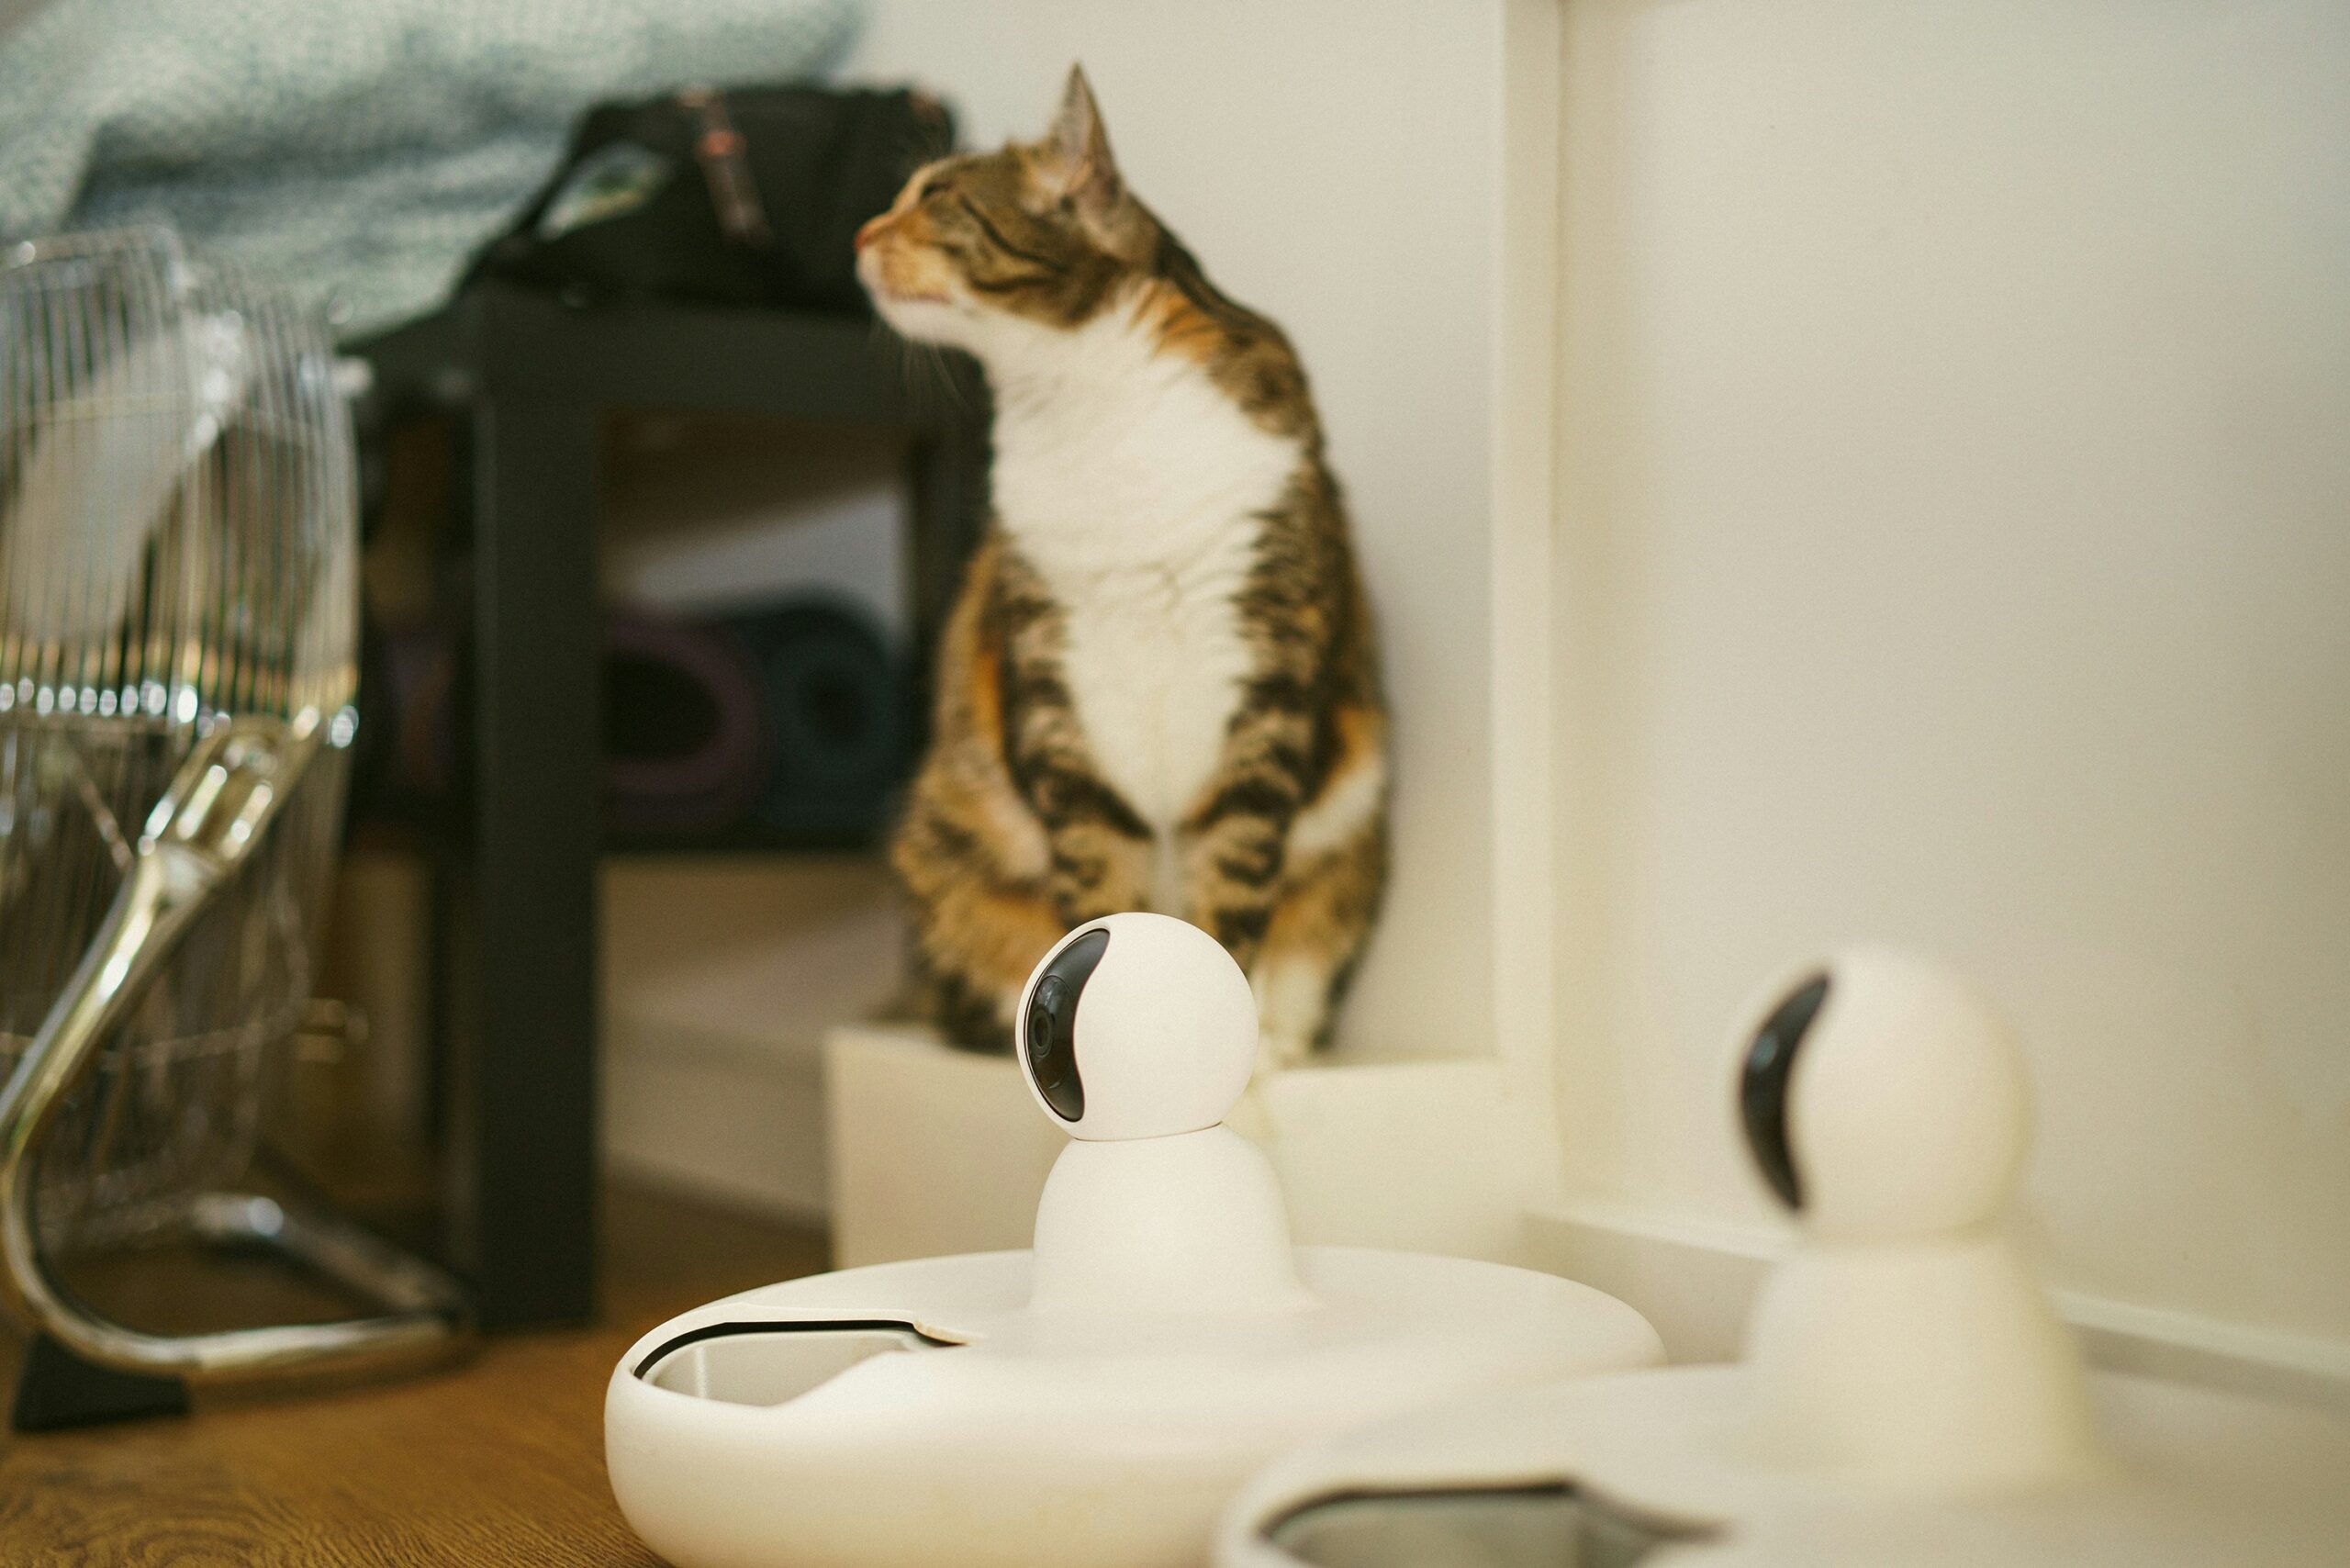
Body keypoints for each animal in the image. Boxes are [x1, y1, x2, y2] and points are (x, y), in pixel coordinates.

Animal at [859, 67, 1372, 1071]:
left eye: (934, 195)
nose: (860, 233)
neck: (1087, 408)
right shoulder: (1057, 689)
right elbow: (1097, 879)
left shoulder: (1264, 675)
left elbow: (1236, 878)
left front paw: (1228, 1054)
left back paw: (1284, 1041)